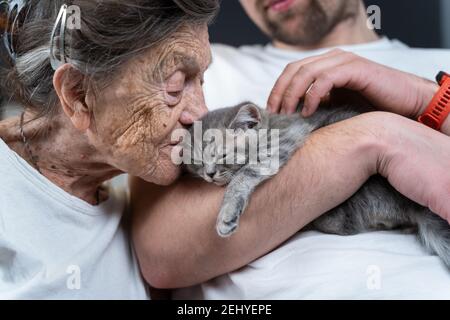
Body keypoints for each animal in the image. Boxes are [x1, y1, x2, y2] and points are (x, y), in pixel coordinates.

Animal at [184, 102, 450, 268]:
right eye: (197, 163)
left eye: (223, 155)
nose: (209, 174)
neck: (272, 125)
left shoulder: (283, 142)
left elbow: (243, 175)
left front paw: (227, 213)